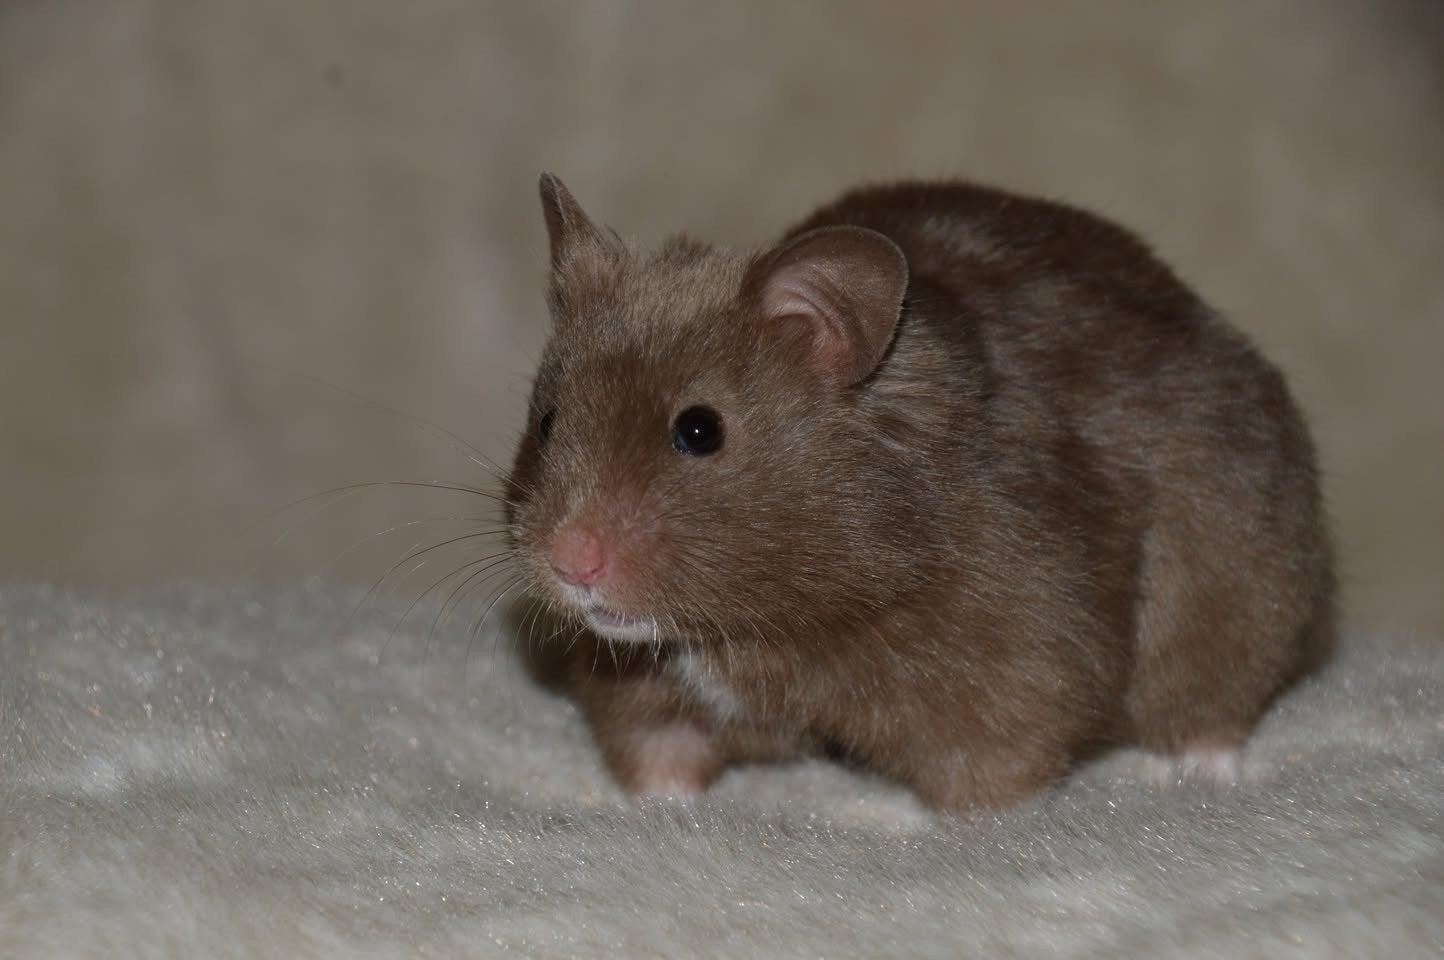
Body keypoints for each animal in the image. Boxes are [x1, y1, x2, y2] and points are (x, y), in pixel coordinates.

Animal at [504, 174, 1335, 813]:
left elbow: (994, 773)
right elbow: (659, 751)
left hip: (1249, 579)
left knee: (1216, 698)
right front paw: (659, 812)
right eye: (547, 420)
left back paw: (1204, 775)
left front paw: (971, 829)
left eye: (699, 431)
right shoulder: (640, 683)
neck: (764, 622)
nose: (570, 563)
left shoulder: (1019, 666)